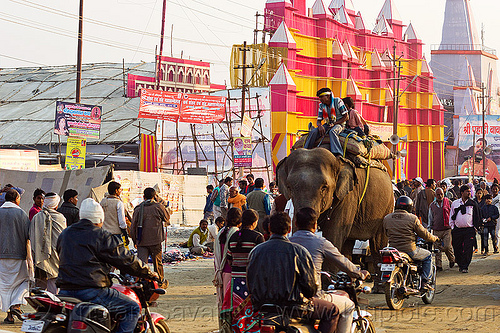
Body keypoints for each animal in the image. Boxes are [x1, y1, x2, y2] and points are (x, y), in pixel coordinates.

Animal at [278, 148, 394, 282]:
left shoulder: (348, 195)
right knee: (348, 244)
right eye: (289, 187)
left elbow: (333, 234)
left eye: (324, 187)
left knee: (377, 245)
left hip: (387, 206)